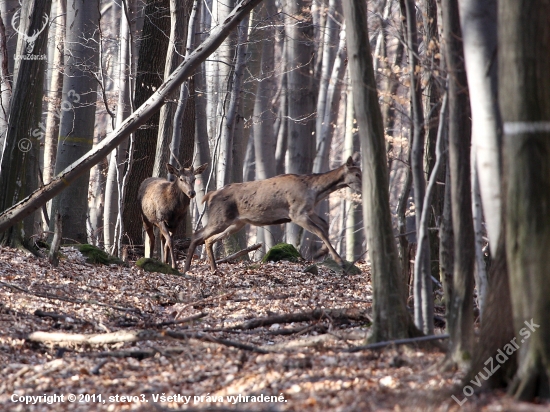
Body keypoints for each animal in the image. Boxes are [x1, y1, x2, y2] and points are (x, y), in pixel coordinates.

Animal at [183, 157, 364, 274]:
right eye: (356, 174)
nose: (363, 187)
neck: (316, 192)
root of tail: (210, 196)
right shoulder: (296, 213)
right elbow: (320, 230)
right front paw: (340, 262)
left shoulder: (308, 210)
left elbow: (325, 225)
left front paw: (325, 255)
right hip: (220, 218)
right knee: (197, 235)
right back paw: (186, 268)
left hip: (236, 223)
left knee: (208, 239)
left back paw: (213, 269)